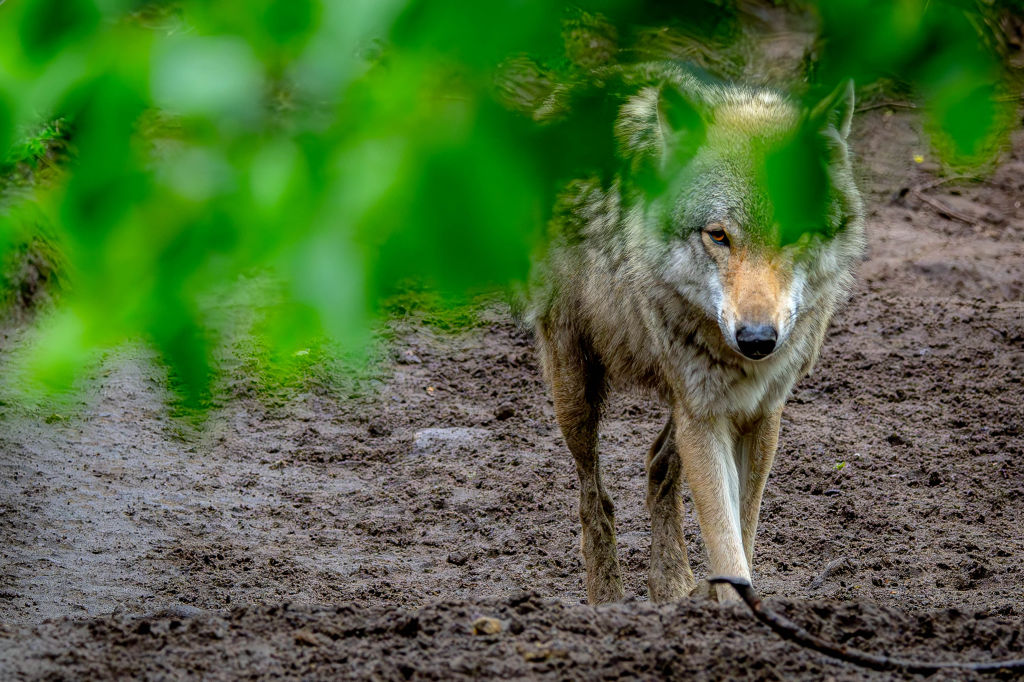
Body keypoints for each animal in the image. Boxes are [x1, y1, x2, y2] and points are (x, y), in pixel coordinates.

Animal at [527, 63, 865, 604]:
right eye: (719, 235)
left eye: (794, 230)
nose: (756, 340)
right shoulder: (705, 416)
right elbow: (726, 541)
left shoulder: (760, 413)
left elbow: (742, 529)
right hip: (576, 390)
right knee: (593, 495)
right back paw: (607, 595)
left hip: (680, 398)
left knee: (658, 465)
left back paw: (672, 584)